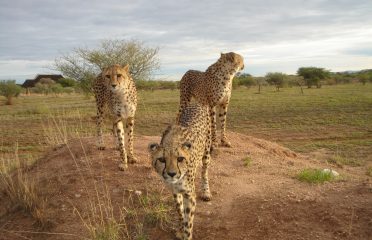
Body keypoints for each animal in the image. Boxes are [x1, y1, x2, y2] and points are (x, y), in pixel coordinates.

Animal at [148, 103, 212, 240]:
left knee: (204, 172)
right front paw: (180, 229)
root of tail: (197, 103)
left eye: (180, 159)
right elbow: (180, 211)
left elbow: (189, 221)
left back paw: (206, 192)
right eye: (162, 160)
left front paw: (186, 234)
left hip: (206, 152)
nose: (172, 174)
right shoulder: (175, 190)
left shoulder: (189, 194)